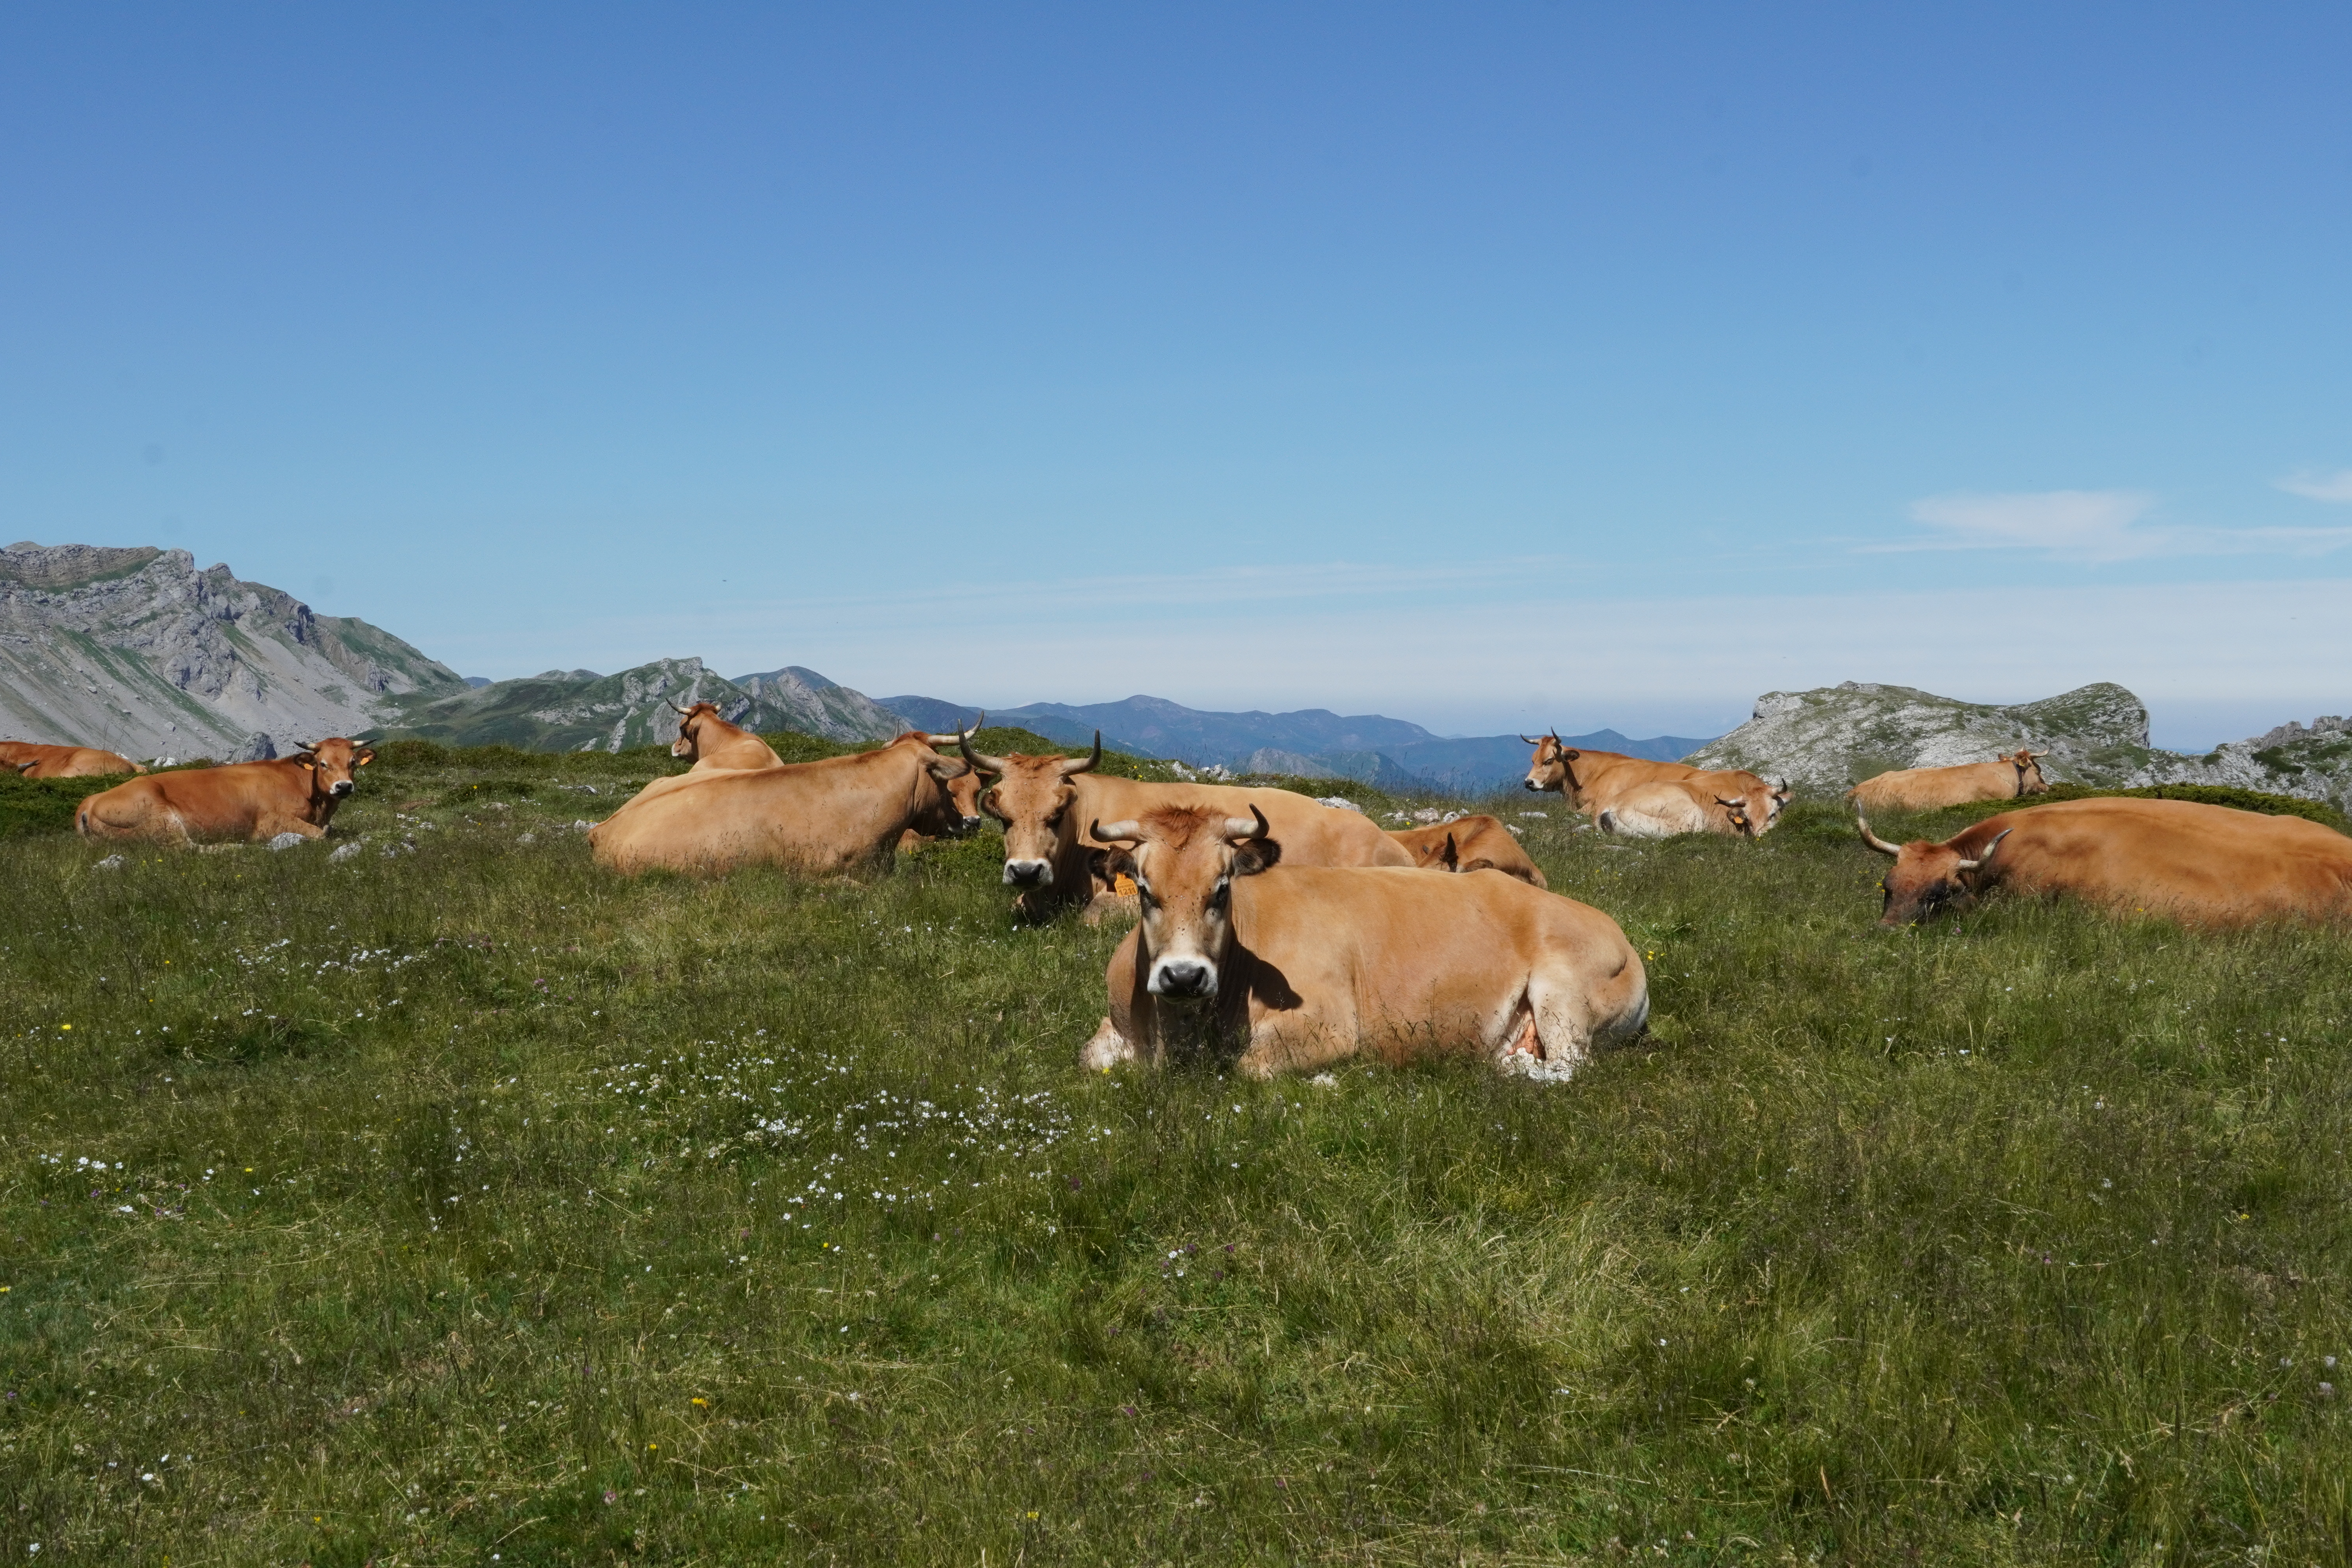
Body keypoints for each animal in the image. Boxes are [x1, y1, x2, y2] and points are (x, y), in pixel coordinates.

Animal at [75, 739, 373, 845]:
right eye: (323, 764)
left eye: (352, 763)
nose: (344, 786)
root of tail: (89, 803)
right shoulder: (270, 823)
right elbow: (321, 834)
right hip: (161, 819)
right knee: (187, 849)